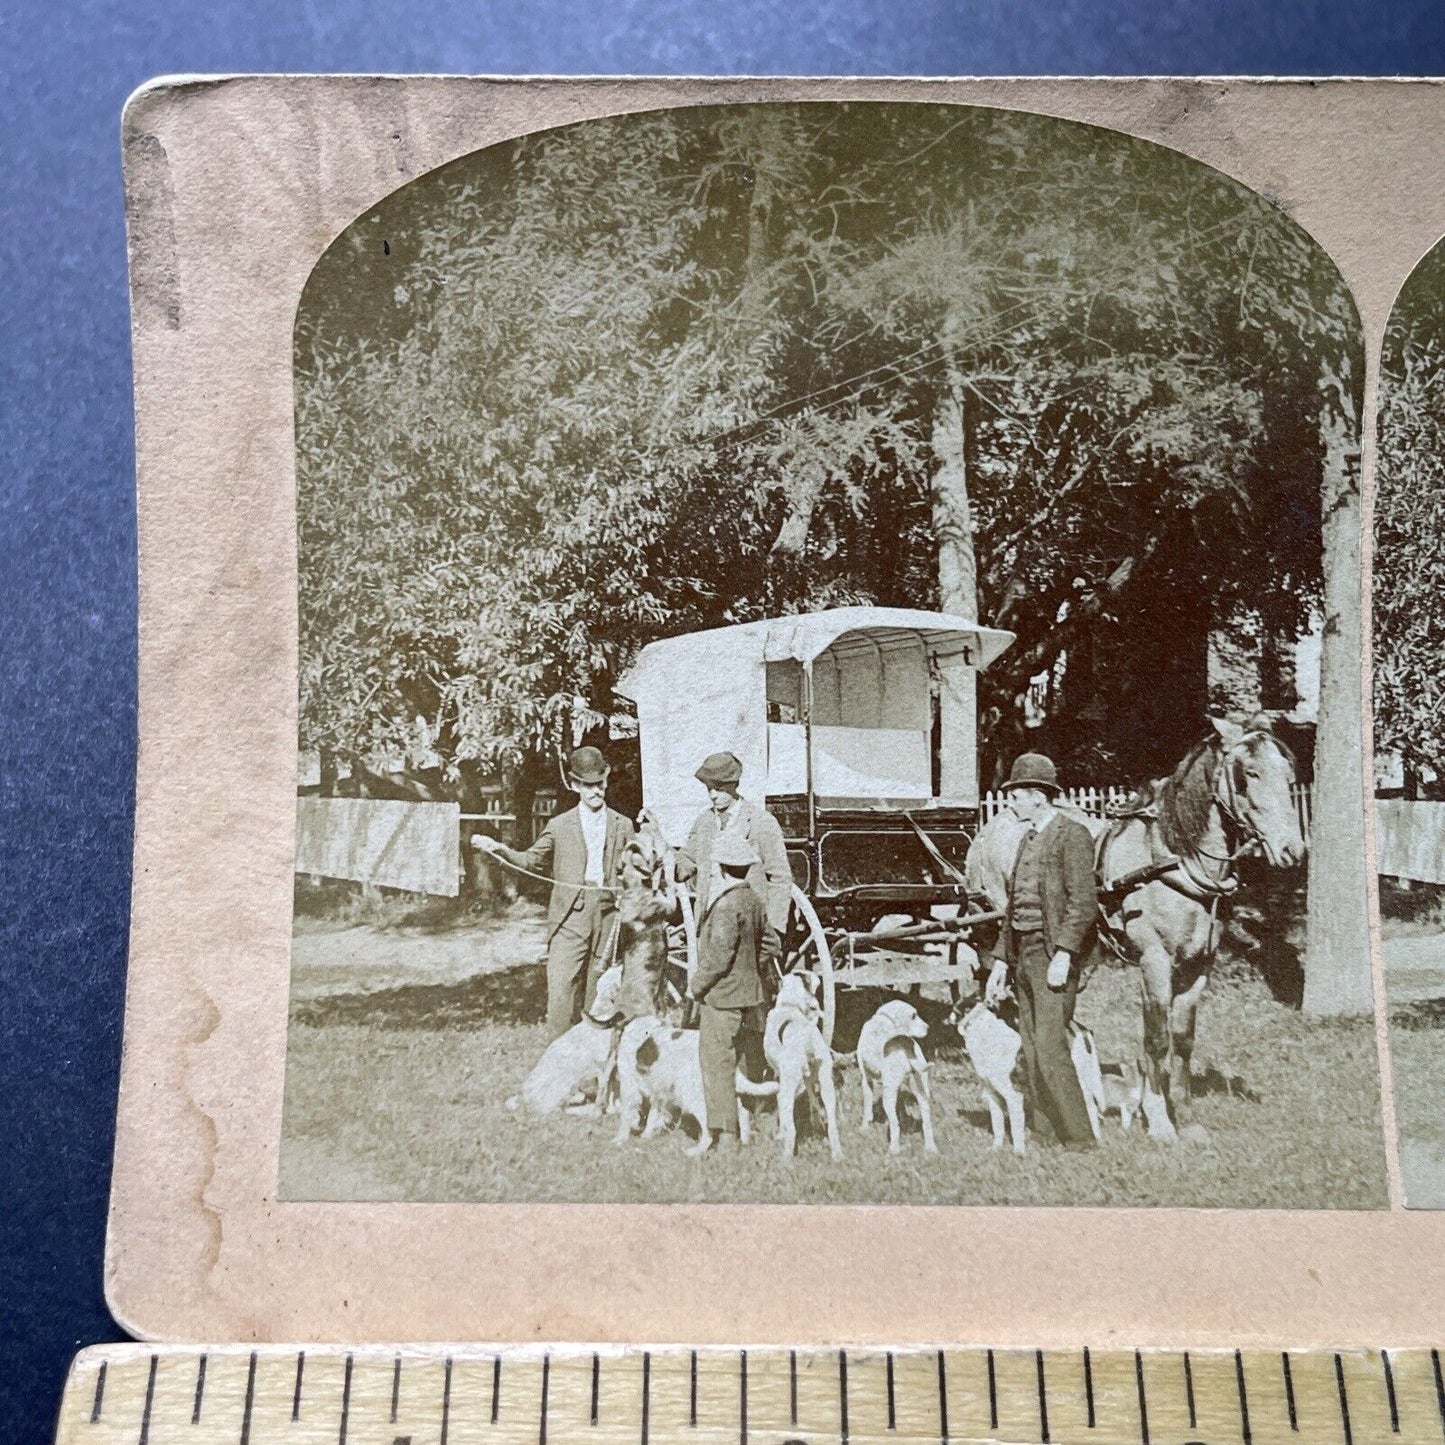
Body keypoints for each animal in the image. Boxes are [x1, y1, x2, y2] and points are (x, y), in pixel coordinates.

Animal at [508, 971, 627, 1115]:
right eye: (618, 973)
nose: (621, 965)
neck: (602, 1014)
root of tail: (523, 1099)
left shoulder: (613, 1064)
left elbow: (611, 1090)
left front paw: (612, 1108)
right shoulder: (605, 1066)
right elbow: (604, 1090)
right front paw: (599, 1112)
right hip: (567, 1082)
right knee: (561, 1109)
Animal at [606, 1017, 774, 1161]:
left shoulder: (629, 1086)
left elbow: (626, 1116)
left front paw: (619, 1140)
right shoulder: (659, 1090)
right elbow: (654, 1114)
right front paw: (646, 1136)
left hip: (693, 1096)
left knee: (709, 1131)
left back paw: (694, 1151)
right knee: (740, 1111)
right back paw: (744, 1143)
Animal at [762, 971, 843, 1161]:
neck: (789, 1006)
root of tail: (807, 1036)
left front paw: (780, 1134)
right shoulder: (809, 1078)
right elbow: (813, 1101)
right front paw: (816, 1123)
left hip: (788, 1086)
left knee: (791, 1128)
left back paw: (786, 1158)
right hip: (826, 1084)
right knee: (832, 1123)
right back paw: (837, 1153)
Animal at [849, 999, 942, 1156]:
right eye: (913, 1016)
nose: (928, 1028)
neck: (885, 1019)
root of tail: (905, 1046)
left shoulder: (866, 1079)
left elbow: (867, 1106)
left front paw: (864, 1127)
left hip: (888, 1094)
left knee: (894, 1124)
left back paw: (894, 1149)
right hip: (920, 1089)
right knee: (926, 1120)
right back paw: (930, 1148)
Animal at [965, 722, 1306, 1138]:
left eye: (1288, 776)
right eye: (1250, 774)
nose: (1292, 851)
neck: (1174, 859)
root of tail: (989, 828)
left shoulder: (1200, 963)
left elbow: (1183, 1035)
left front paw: (1181, 1107)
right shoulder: (1154, 960)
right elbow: (1157, 1039)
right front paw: (1158, 1118)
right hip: (993, 930)